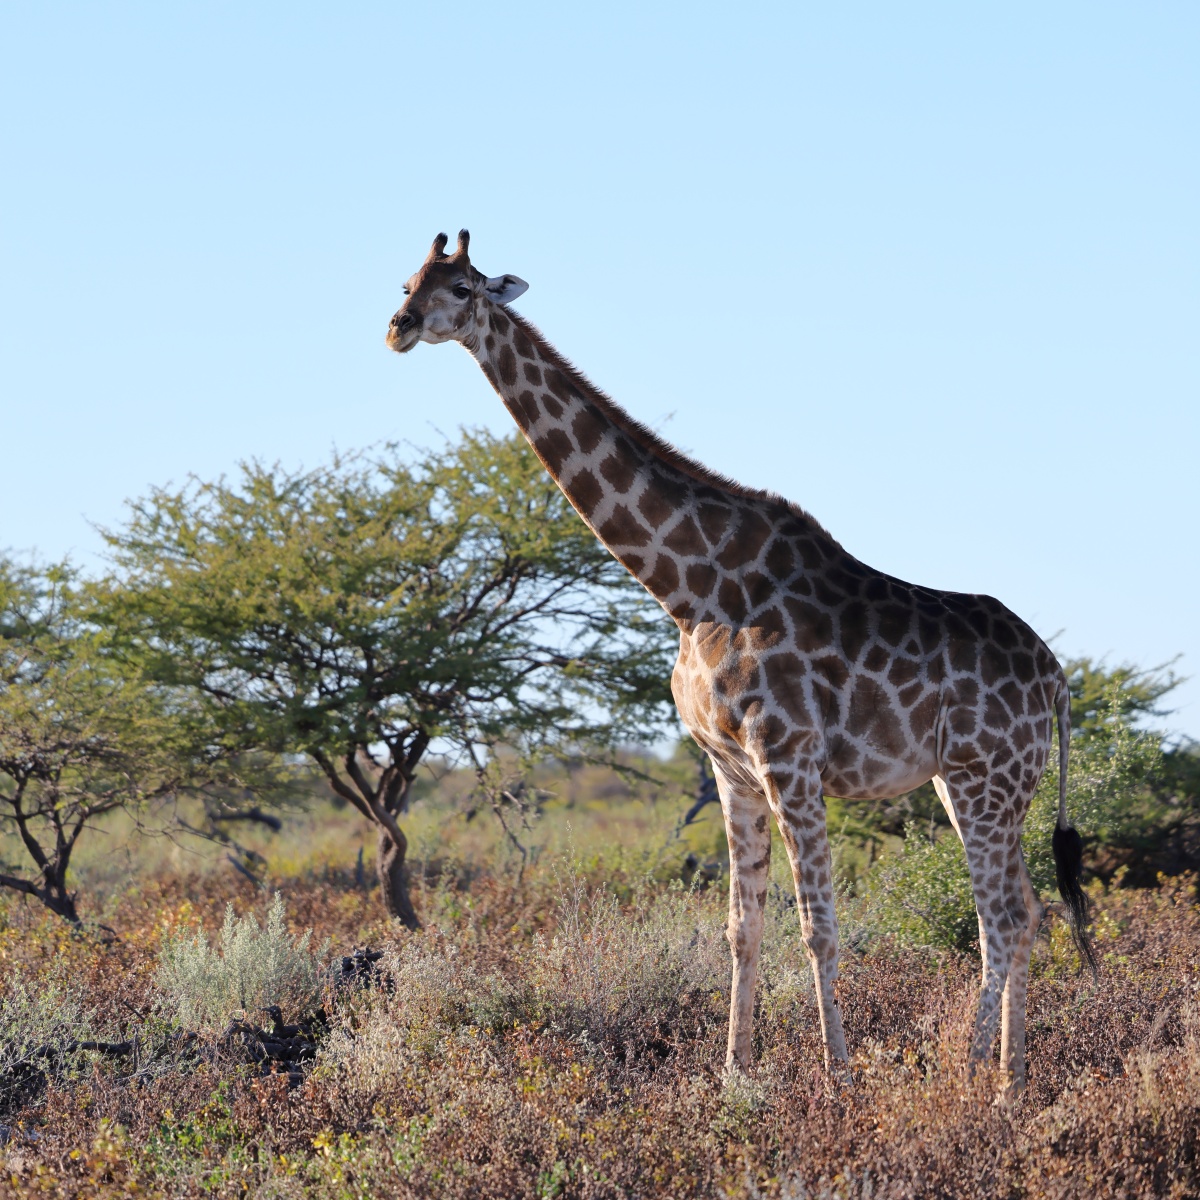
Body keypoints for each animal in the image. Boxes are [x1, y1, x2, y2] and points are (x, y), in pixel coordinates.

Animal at [386, 230, 1096, 1090]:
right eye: (407, 281)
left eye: (460, 288)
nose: (398, 327)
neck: (690, 590)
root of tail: (1057, 678)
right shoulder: (729, 768)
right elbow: (741, 926)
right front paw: (735, 1073)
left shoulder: (788, 756)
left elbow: (818, 926)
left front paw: (837, 1080)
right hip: (981, 785)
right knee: (1029, 914)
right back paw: (1010, 1083)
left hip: (983, 778)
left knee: (1000, 919)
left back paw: (966, 1079)